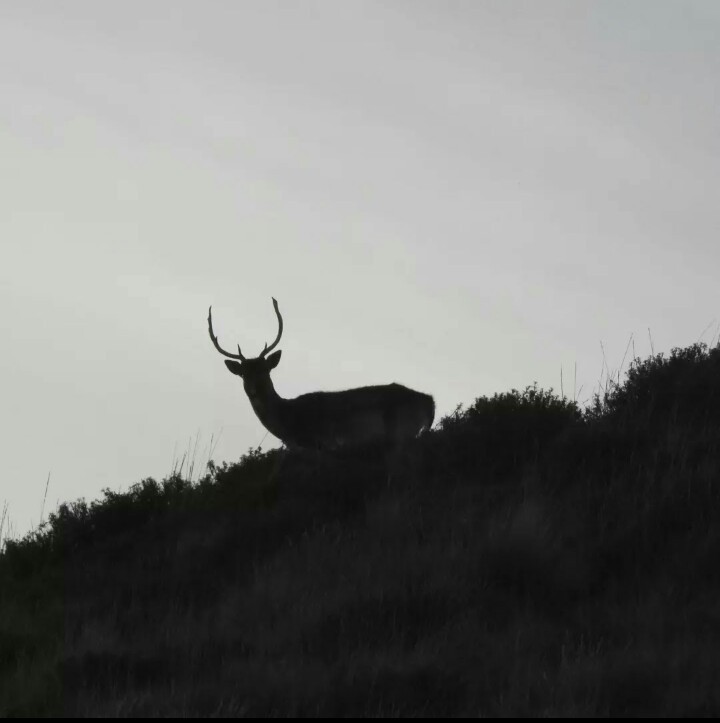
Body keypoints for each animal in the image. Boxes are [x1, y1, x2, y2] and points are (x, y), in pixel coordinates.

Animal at [205, 296, 436, 452]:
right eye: (243, 374)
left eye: (265, 370)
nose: (253, 390)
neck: (289, 424)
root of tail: (429, 402)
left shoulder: (322, 443)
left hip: (400, 431)